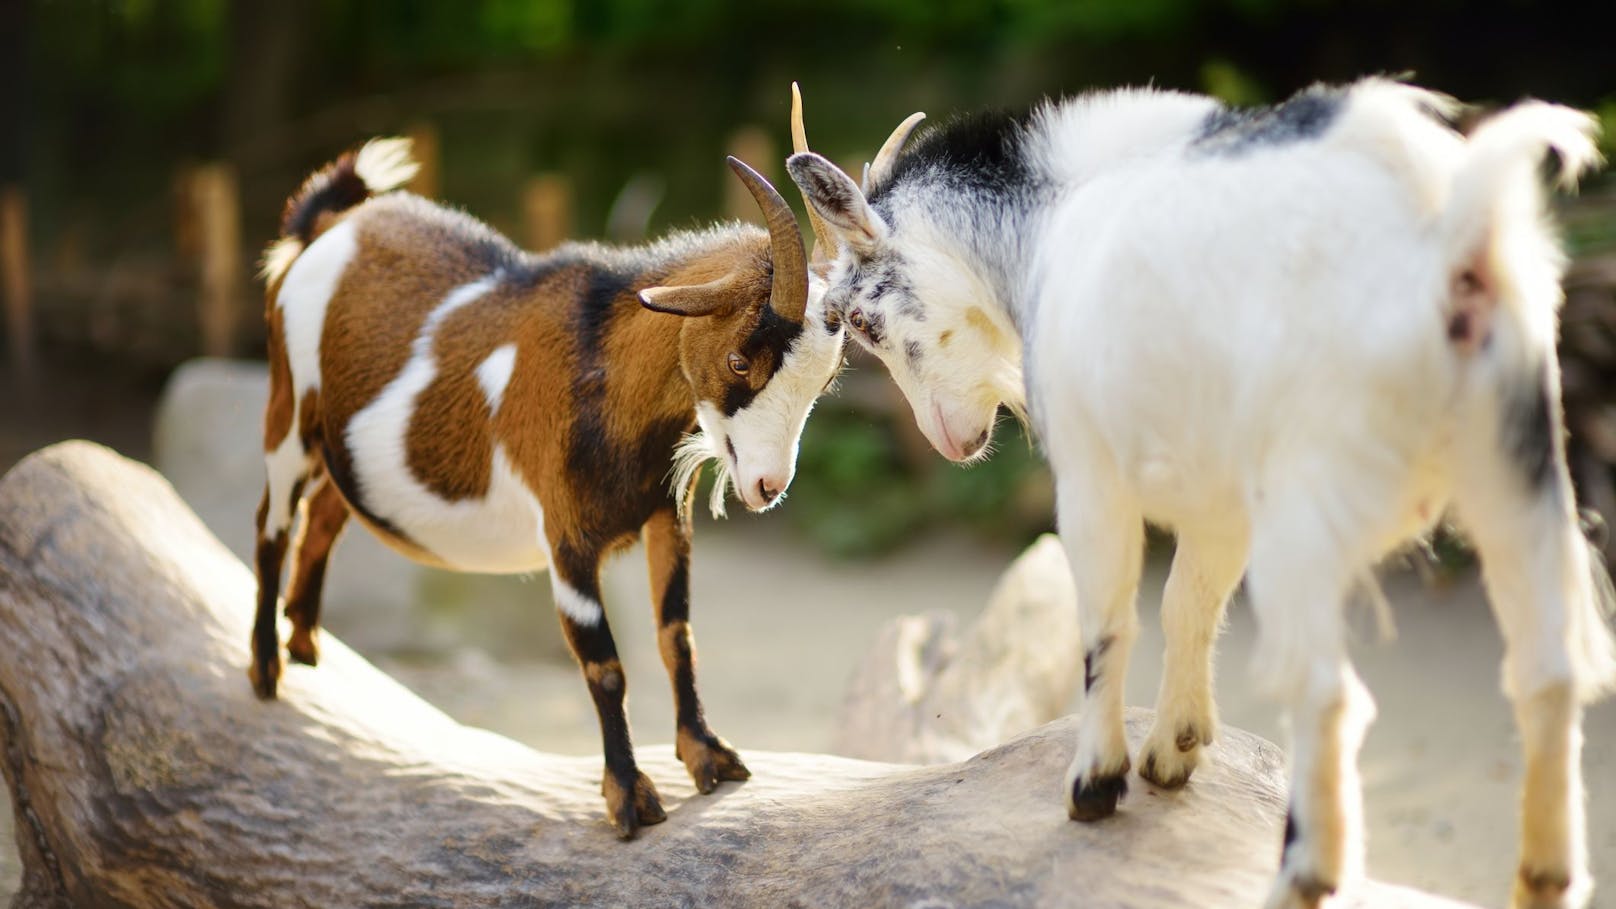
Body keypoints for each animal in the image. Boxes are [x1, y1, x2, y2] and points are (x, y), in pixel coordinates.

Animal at [252, 135, 846, 834]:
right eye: (738, 360)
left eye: (823, 380)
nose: (766, 484)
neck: (601, 369)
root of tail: (327, 226)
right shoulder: (567, 538)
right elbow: (604, 665)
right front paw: (629, 796)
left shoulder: (664, 518)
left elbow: (677, 635)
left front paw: (708, 754)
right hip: (289, 414)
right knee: (271, 524)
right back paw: (266, 669)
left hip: (340, 451)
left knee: (324, 514)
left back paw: (305, 642)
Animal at [791, 79, 1616, 905]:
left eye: (860, 318)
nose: (948, 442)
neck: (1052, 216)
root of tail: (1450, 229)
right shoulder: (1220, 500)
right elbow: (1187, 604)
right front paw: (1174, 749)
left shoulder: (1090, 473)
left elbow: (1108, 621)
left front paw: (1096, 783)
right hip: (1516, 465)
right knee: (1548, 672)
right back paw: (1545, 876)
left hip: (1309, 505)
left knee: (1327, 690)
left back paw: (1298, 876)